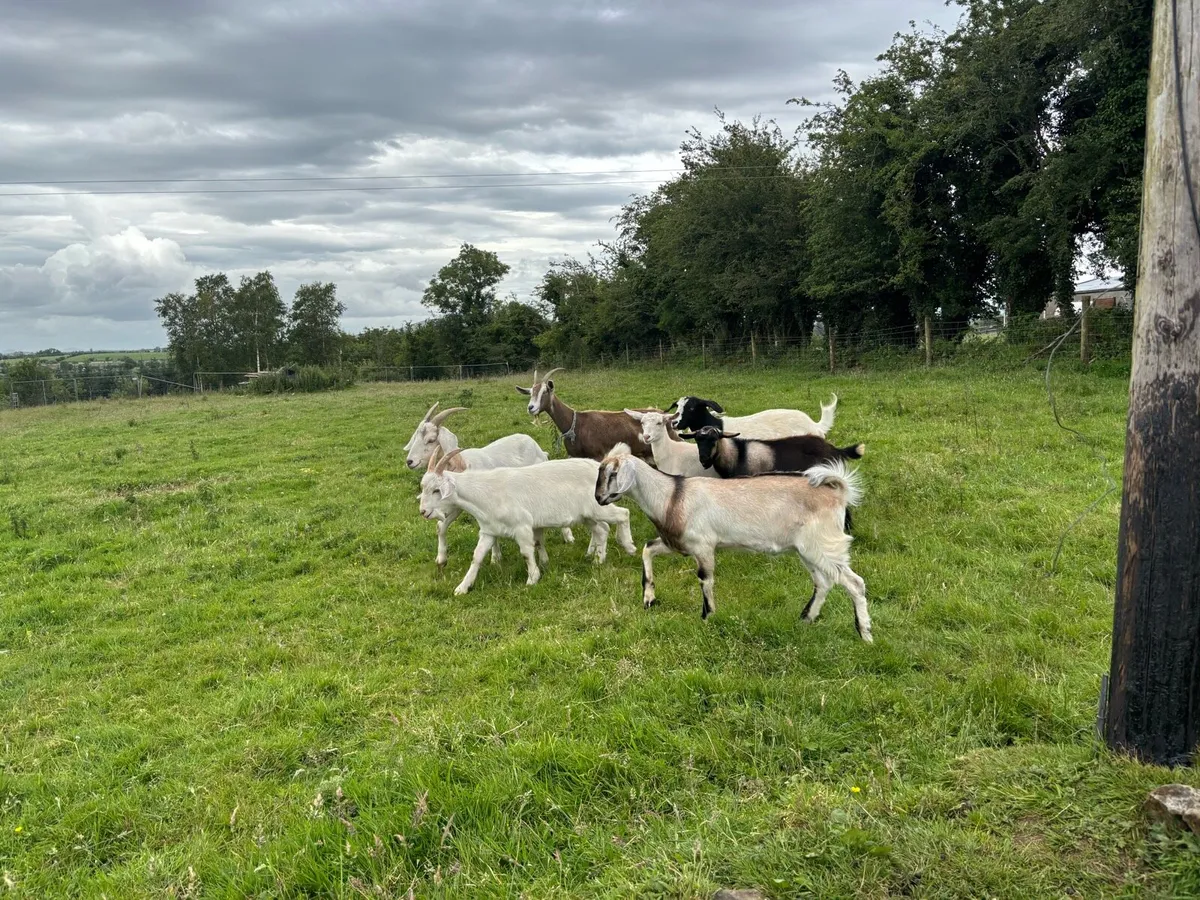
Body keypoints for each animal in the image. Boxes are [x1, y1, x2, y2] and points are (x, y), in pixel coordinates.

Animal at [404, 402, 573, 568]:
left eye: (431, 440)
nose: (409, 462)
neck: (464, 464)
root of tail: (534, 444)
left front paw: (495, 557)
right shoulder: (454, 505)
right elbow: (441, 527)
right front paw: (441, 559)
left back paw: (568, 536)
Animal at [421, 448, 637, 595]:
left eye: (437, 490)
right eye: (423, 487)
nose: (423, 511)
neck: (487, 492)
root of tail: (596, 467)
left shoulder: (522, 527)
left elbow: (526, 552)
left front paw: (532, 579)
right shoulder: (489, 531)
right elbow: (477, 557)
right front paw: (463, 587)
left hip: (599, 506)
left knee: (623, 514)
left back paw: (628, 546)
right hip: (587, 515)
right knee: (602, 529)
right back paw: (598, 560)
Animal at [516, 368, 662, 462]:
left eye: (545, 391)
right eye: (530, 393)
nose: (531, 408)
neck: (575, 424)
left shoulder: (597, 455)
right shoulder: (574, 456)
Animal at [594, 444, 871, 641]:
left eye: (612, 474)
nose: (598, 498)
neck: (672, 496)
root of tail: (837, 490)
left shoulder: (703, 545)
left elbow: (705, 580)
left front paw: (707, 617)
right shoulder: (676, 543)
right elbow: (648, 549)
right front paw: (649, 598)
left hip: (824, 545)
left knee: (855, 583)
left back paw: (865, 634)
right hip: (808, 550)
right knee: (824, 582)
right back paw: (806, 619)